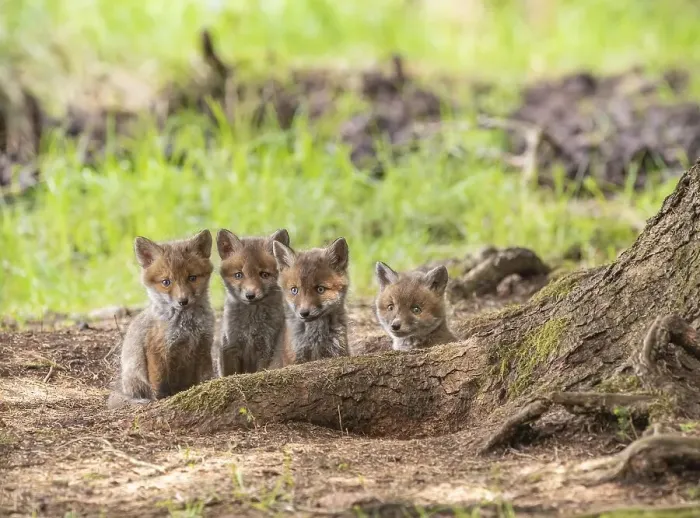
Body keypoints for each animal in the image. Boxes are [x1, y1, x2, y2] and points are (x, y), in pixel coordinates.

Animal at [107, 229, 216, 409]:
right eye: (166, 282)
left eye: (192, 278)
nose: (183, 301)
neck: (188, 327)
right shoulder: (158, 349)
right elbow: (159, 383)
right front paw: (162, 400)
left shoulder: (203, 345)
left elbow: (204, 377)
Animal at [215, 228, 290, 375]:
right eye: (238, 275)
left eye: (264, 275)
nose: (250, 295)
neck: (250, 326)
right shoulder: (230, 345)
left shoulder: (266, 348)